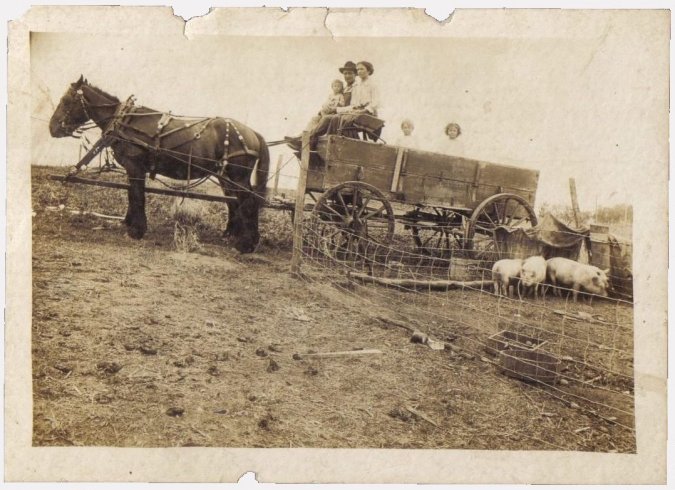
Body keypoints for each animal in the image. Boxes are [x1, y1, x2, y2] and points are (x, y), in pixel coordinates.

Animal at [48, 76, 270, 255]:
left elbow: (137, 196)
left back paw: (246, 244)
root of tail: (253, 133)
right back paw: (233, 235)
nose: (52, 128)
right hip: (226, 177)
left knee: (248, 202)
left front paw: (137, 230)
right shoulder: (132, 169)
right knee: (235, 202)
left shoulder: (135, 166)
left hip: (238, 176)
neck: (124, 120)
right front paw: (129, 223)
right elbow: (132, 193)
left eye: (66, 101)